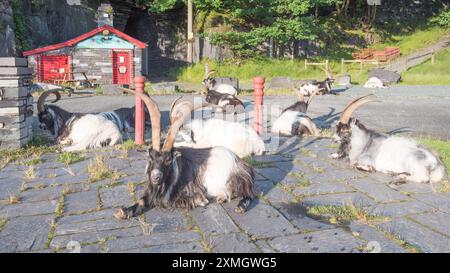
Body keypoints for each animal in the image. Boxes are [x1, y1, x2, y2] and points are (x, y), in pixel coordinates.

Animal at [114, 90, 255, 220]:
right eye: (150, 157)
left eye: (168, 159)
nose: (155, 177)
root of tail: (240, 161)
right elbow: (142, 200)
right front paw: (123, 212)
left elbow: (173, 200)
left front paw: (200, 200)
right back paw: (221, 198)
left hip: (236, 180)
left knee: (248, 194)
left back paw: (239, 206)